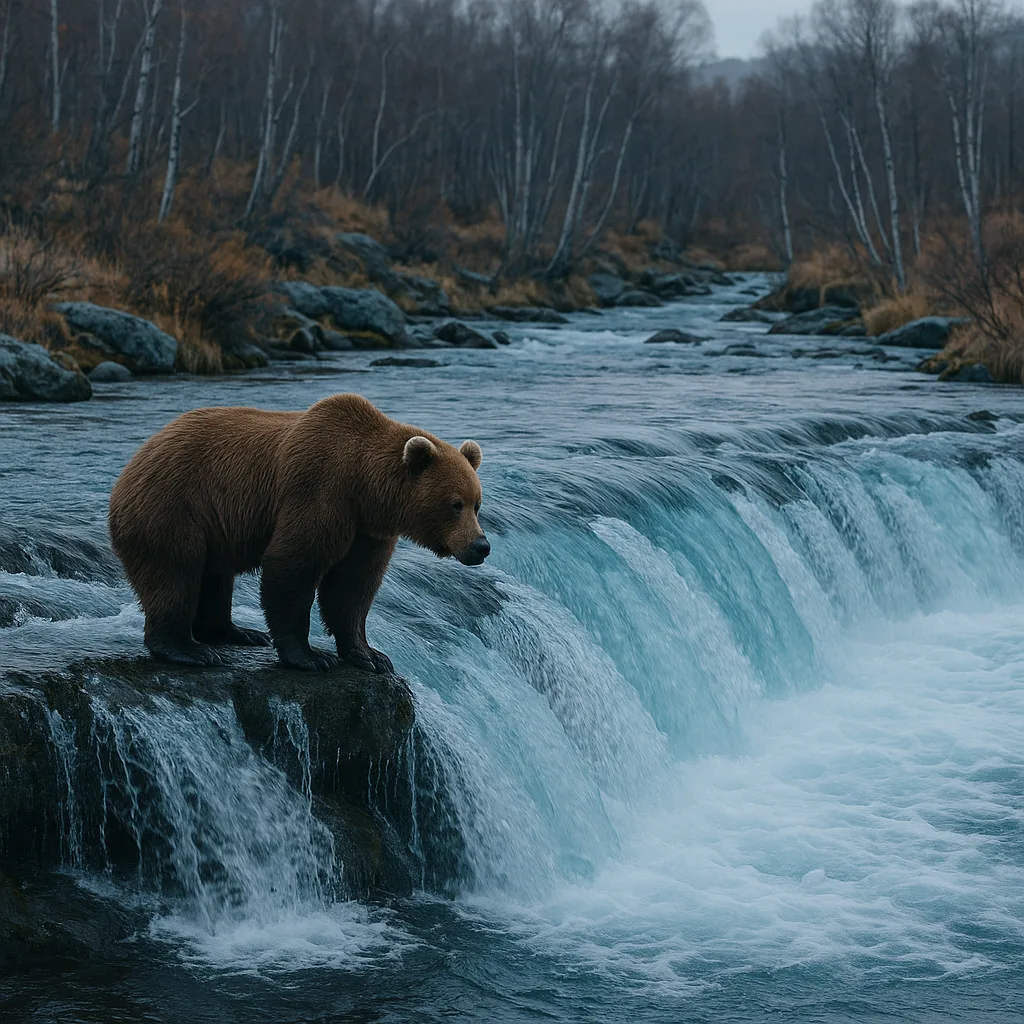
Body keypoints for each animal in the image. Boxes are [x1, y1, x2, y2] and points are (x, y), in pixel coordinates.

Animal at [108, 392, 489, 672]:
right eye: (455, 503)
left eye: (477, 503)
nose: (481, 545)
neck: (364, 485)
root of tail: (133, 462)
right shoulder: (319, 489)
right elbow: (294, 565)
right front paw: (311, 656)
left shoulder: (367, 531)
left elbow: (353, 586)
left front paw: (370, 654)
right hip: (173, 506)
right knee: (174, 572)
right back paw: (189, 649)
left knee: (215, 577)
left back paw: (237, 633)